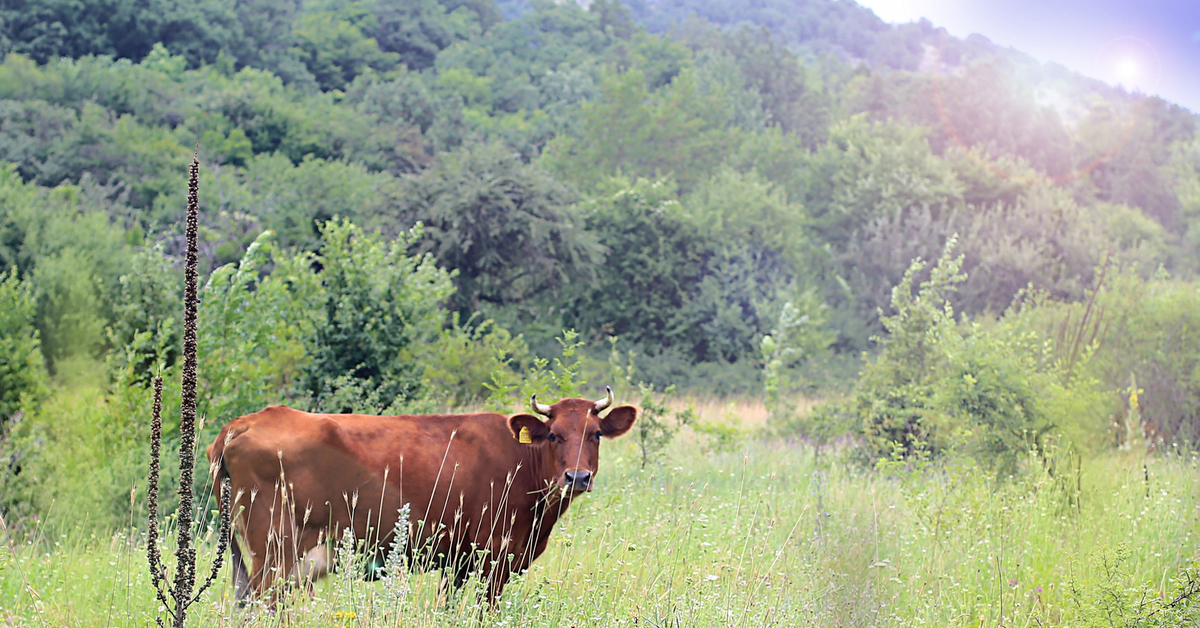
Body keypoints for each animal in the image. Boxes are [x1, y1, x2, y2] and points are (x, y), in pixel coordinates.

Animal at [206, 386, 638, 607]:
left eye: (595, 434)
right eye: (554, 435)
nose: (577, 476)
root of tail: (244, 422)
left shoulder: (459, 562)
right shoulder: (493, 557)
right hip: (274, 549)